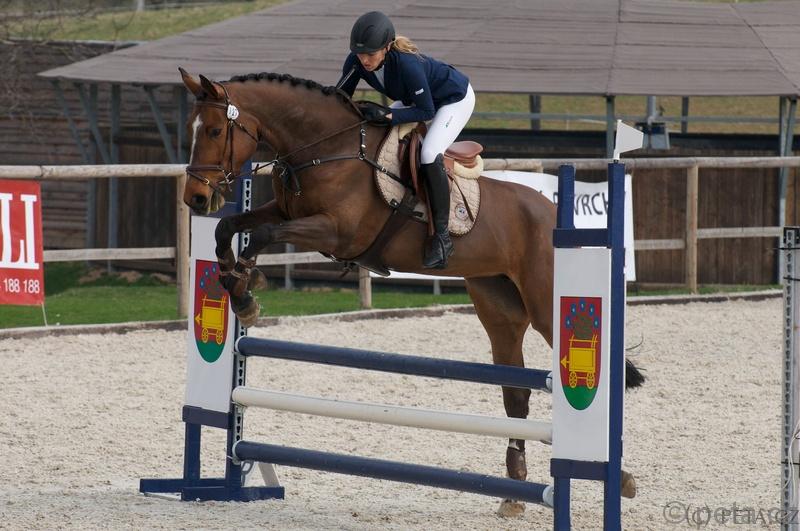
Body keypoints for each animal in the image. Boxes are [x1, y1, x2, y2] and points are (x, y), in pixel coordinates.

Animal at [178, 68, 642, 515]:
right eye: (192, 129)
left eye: (215, 131)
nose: (196, 198)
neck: (325, 148)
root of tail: (552, 213)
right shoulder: (285, 211)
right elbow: (229, 227)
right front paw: (236, 283)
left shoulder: (335, 232)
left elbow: (262, 236)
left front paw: (247, 290)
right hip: (500, 310)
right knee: (516, 394)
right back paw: (514, 492)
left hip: (546, 306)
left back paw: (618, 477)